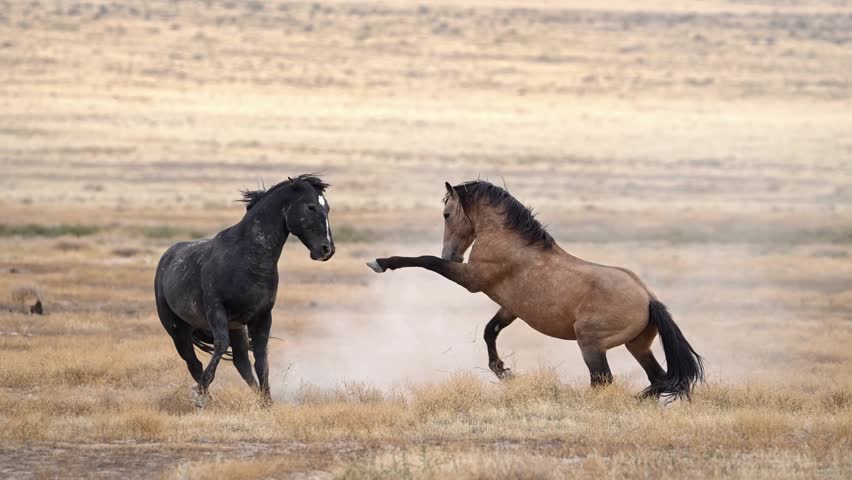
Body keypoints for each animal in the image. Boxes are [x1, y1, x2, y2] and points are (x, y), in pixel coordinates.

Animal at [155, 174, 334, 405]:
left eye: (327, 207)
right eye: (311, 206)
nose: (327, 249)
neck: (248, 258)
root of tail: (167, 256)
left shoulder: (262, 316)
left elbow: (261, 361)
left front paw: (267, 403)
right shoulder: (217, 311)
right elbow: (221, 346)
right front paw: (200, 392)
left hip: (236, 328)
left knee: (241, 362)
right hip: (178, 329)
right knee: (193, 362)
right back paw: (204, 396)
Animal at [367, 180, 704, 399]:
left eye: (446, 214)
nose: (452, 255)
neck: (511, 241)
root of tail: (649, 300)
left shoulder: (473, 280)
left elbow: (426, 261)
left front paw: (381, 262)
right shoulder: (510, 307)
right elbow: (490, 331)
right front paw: (503, 372)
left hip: (591, 344)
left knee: (604, 379)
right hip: (637, 346)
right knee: (657, 379)